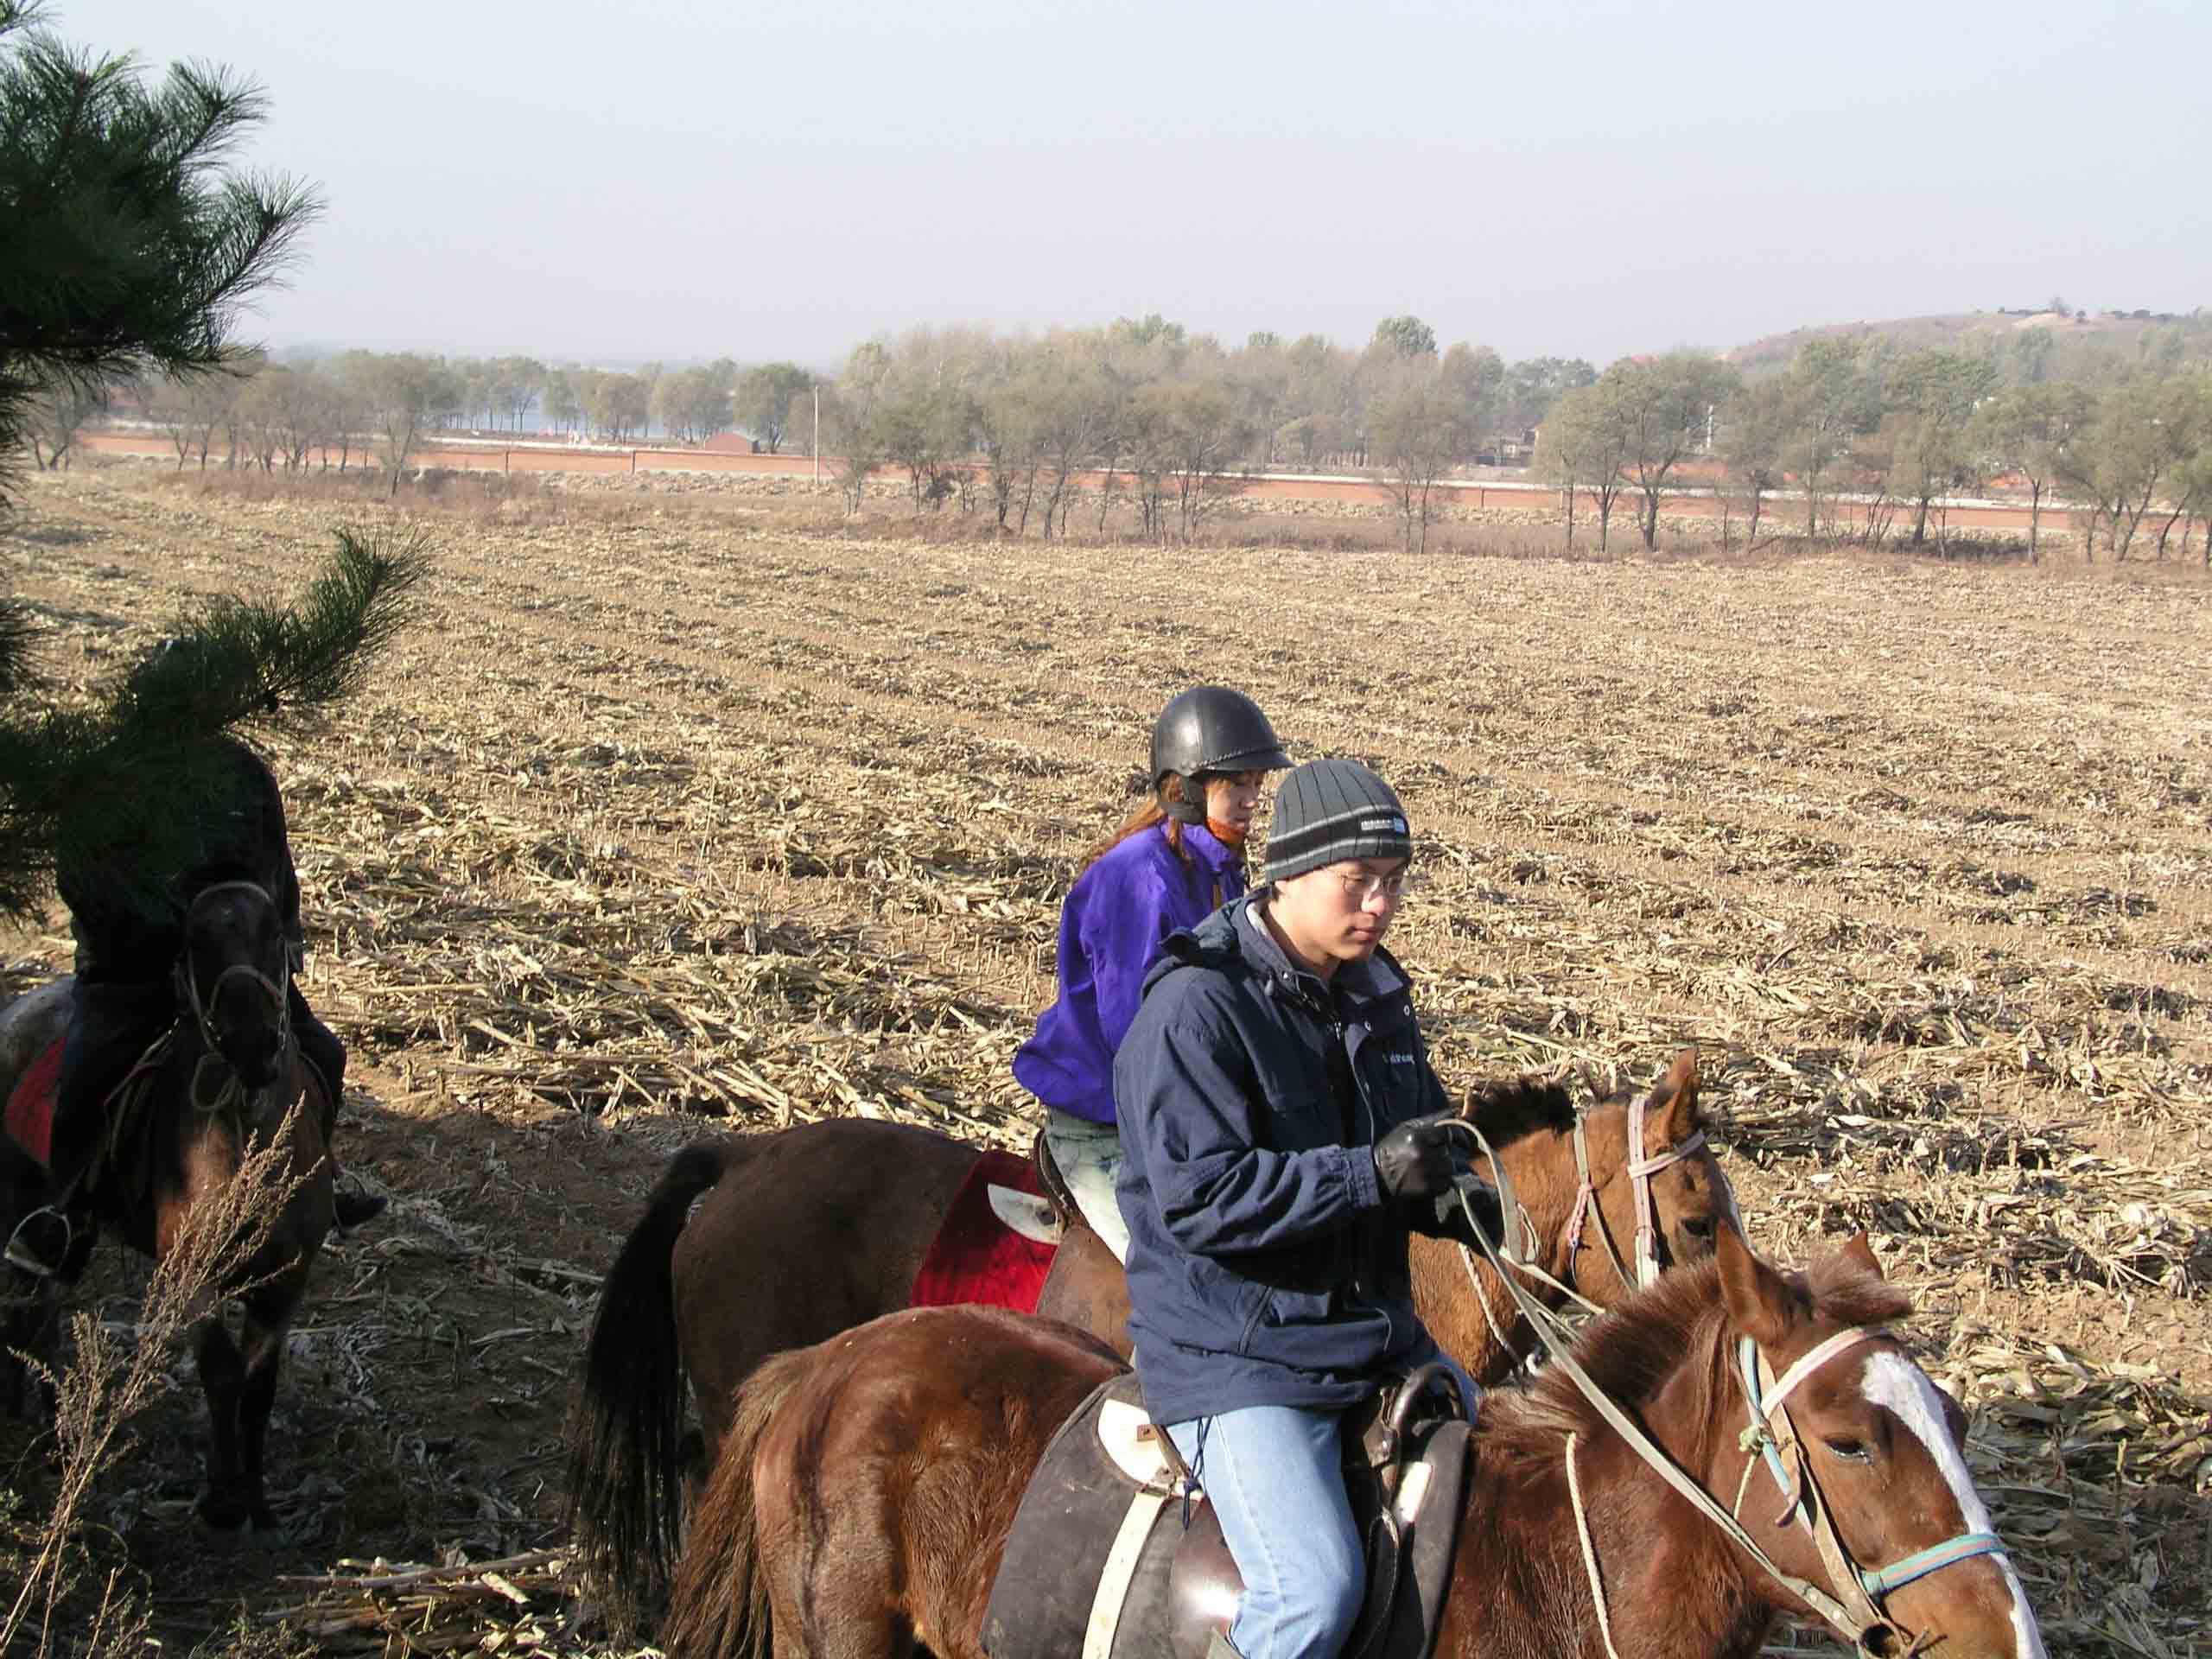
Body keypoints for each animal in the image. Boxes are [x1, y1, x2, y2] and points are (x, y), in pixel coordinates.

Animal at [0, 885, 336, 1530]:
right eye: (194, 942)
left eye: (273, 934)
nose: (256, 1047)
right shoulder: (191, 1279)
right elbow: (222, 1372)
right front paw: (223, 1499)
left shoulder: (286, 1282)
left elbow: (259, 1383)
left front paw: (255, 1498)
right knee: (26, 1316)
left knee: (37, 1320)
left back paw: (48, 1432)